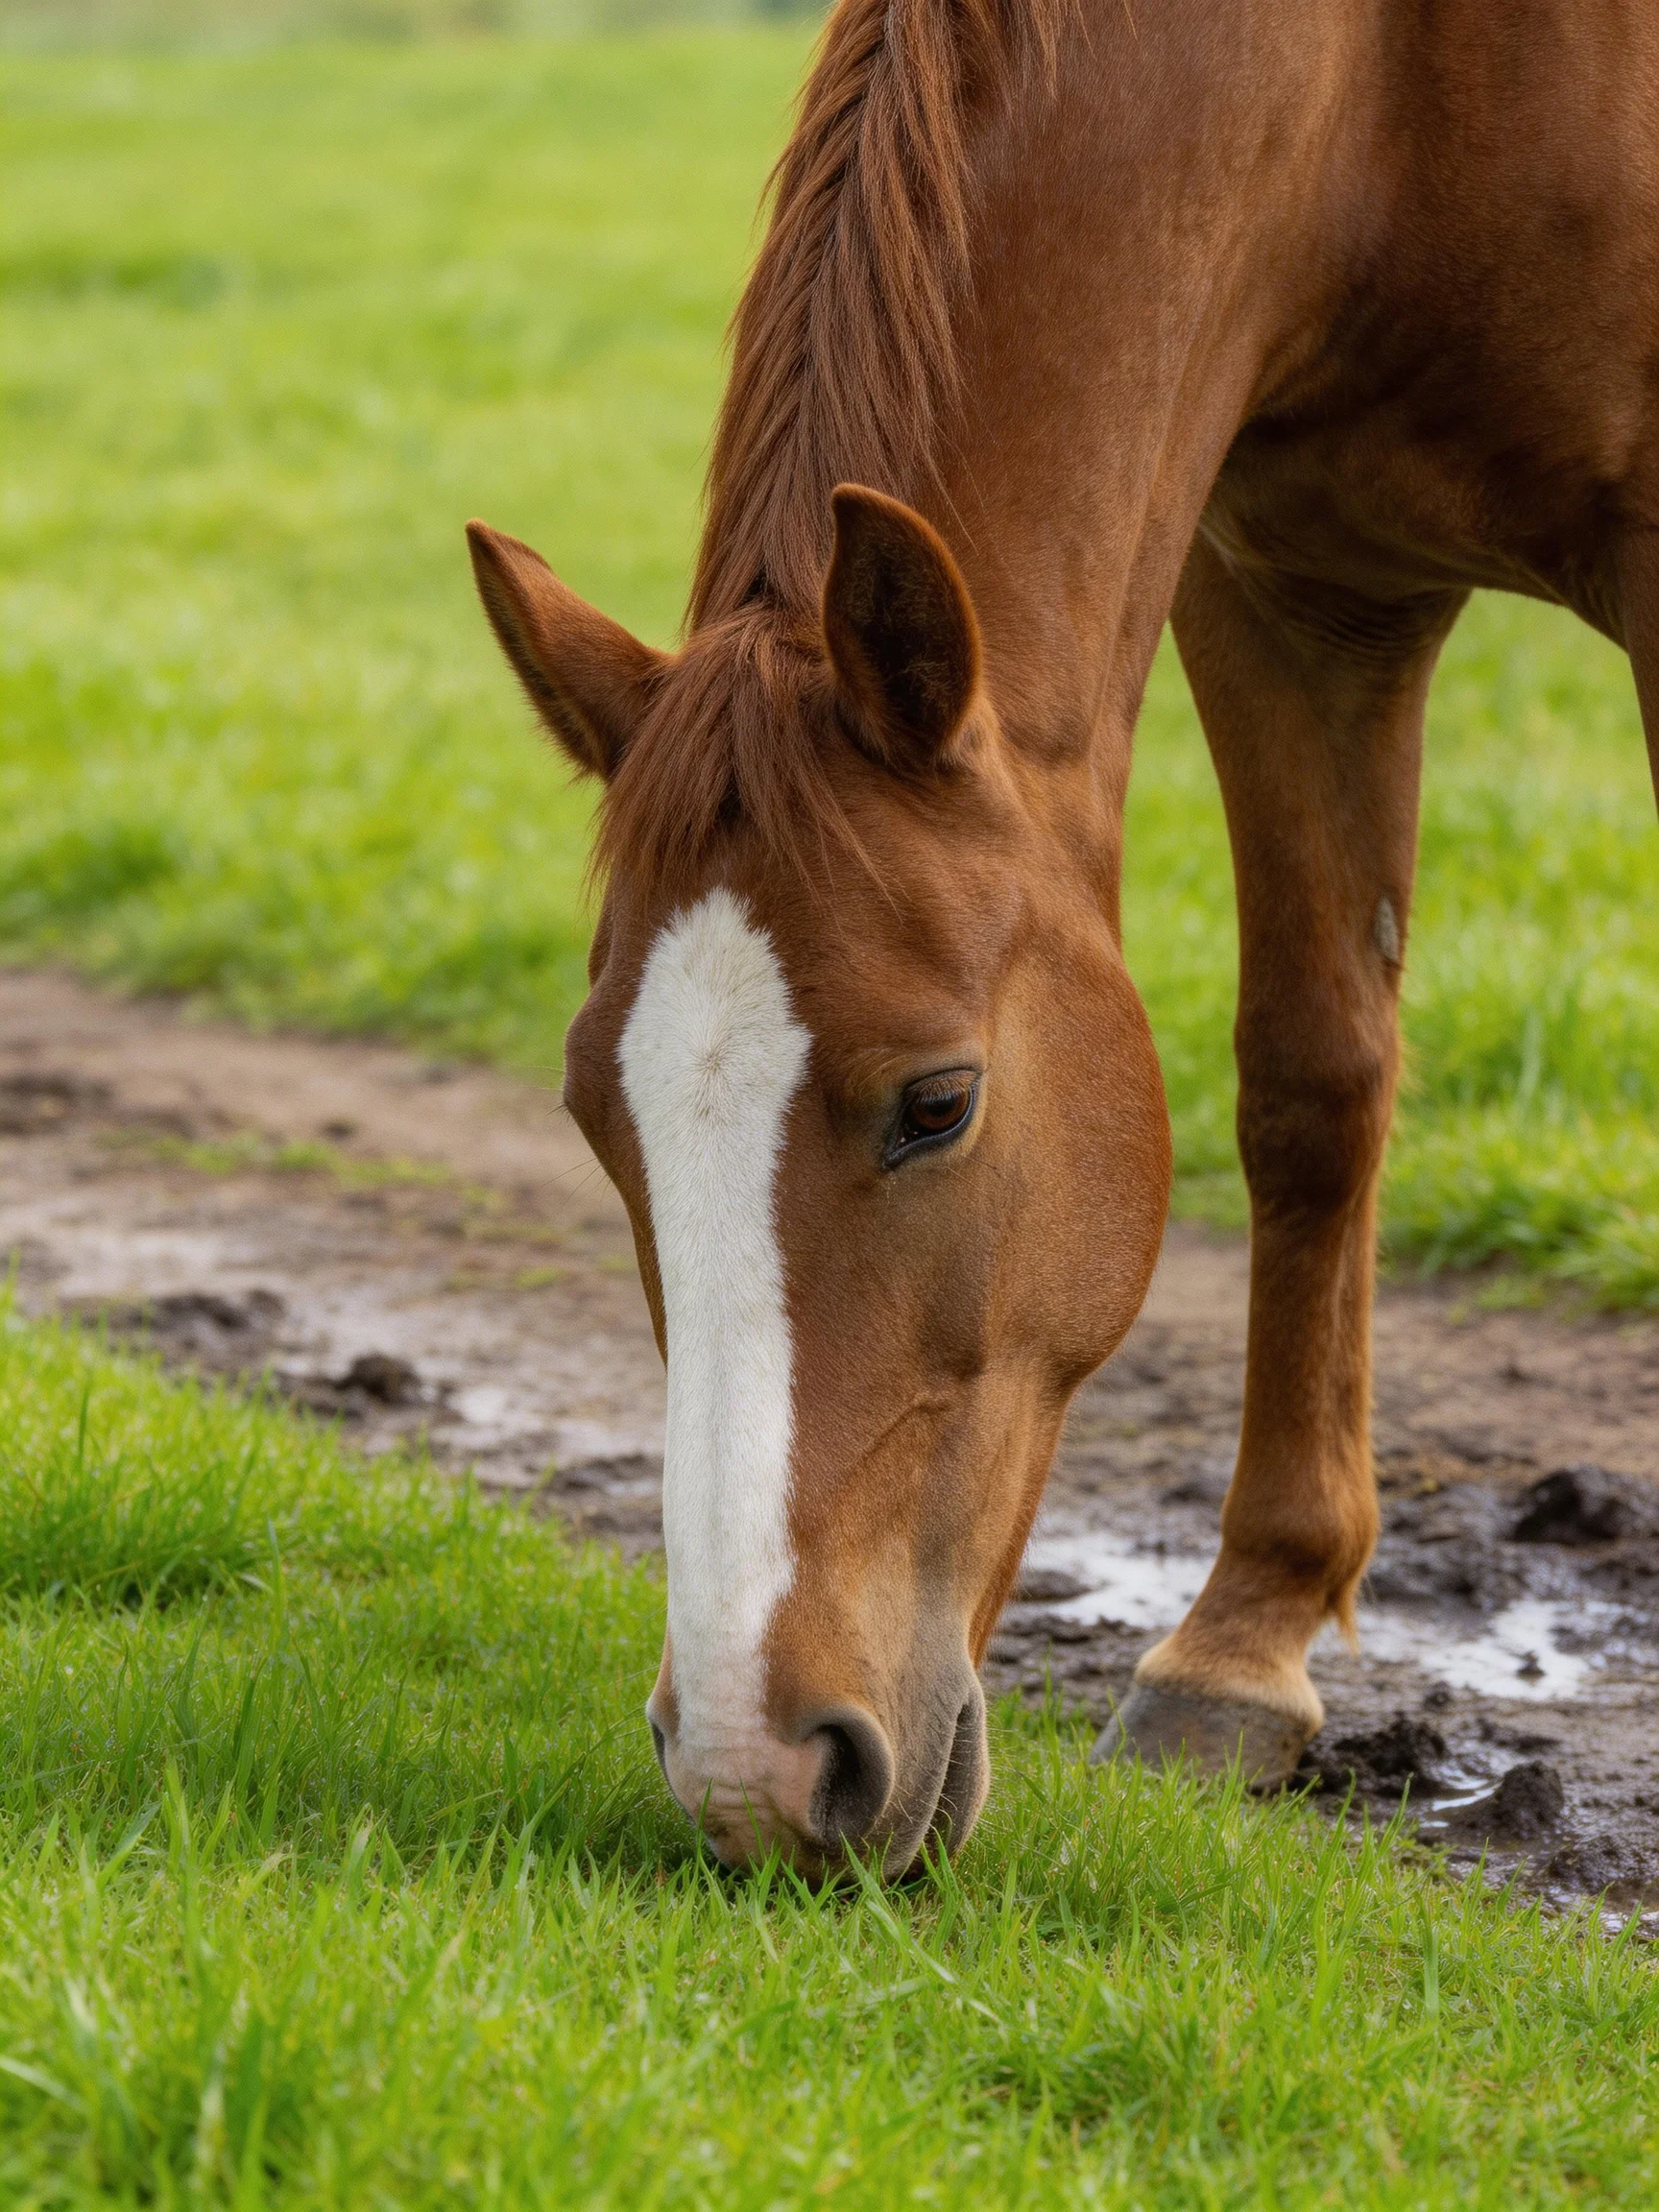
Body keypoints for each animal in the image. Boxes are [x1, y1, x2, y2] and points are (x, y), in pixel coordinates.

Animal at [467, 0, 1659, 1876]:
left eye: (938, 1103)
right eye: (599, 1112)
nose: (752, 1773)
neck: (1395, 92)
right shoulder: (1292, 589)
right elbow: (1311, 1081)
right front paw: (1241, 1647)